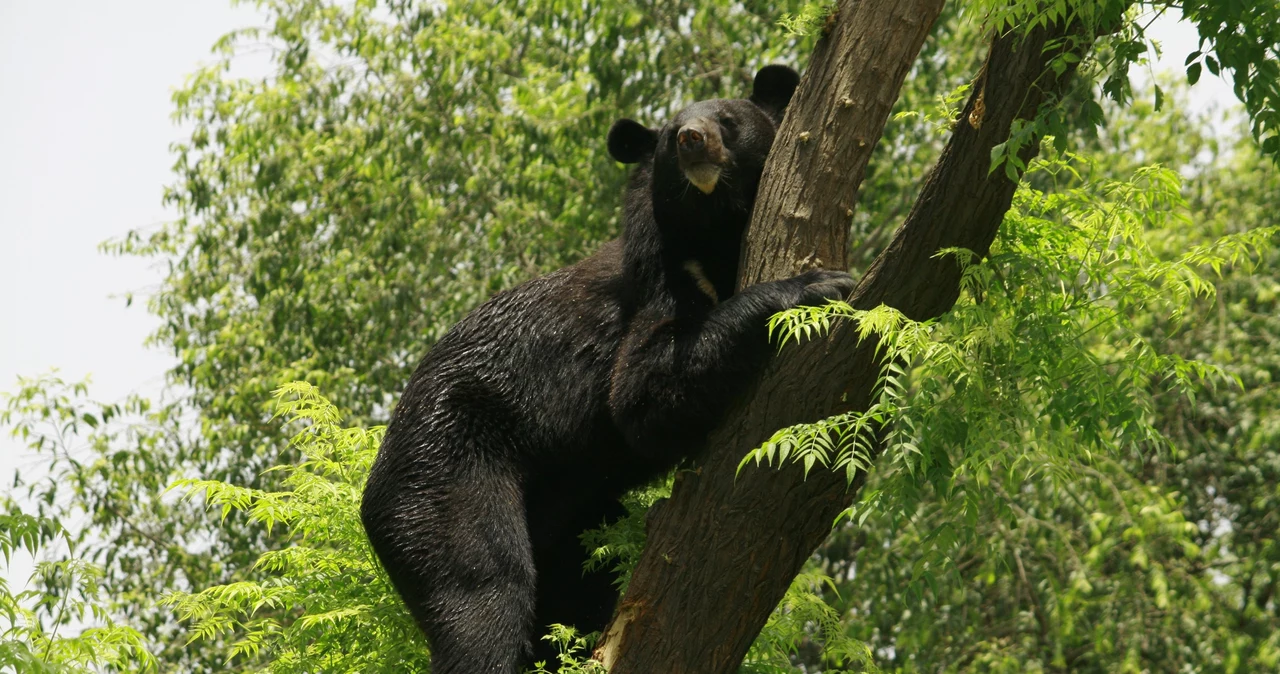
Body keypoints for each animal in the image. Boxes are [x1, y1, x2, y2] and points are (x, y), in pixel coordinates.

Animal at [360, 64, 855, 674]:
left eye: (727, 120)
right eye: (670, 134)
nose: (693, 140)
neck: (714, 233)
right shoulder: (656, 282)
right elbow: (640, 397)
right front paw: (814, 285)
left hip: (563, 514)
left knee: (572, 594)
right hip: (445, 468)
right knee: (483, 587)